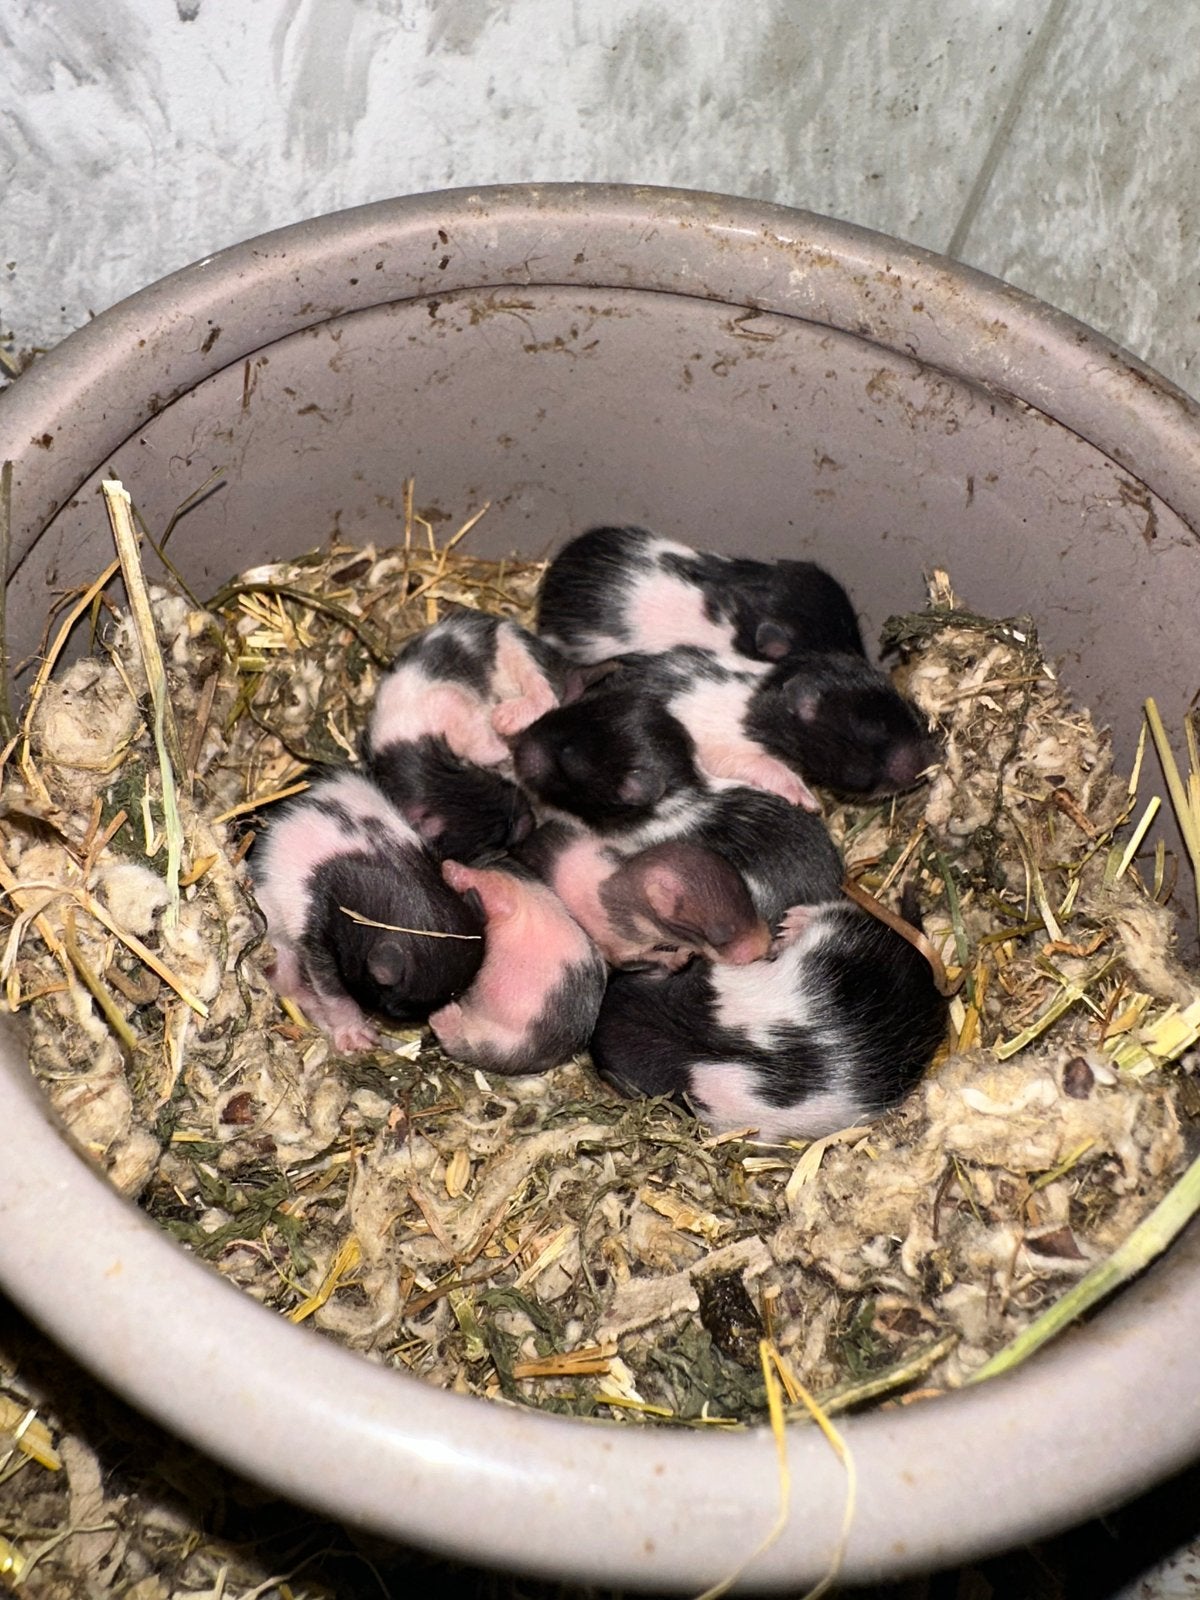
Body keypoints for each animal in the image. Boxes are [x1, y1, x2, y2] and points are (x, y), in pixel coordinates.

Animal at [428, 859, 608, 1076]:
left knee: (469, 1046)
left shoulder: (506, 895)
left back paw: (442, 1014)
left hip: (505, 1039)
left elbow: (493, 891)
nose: (445, 863)